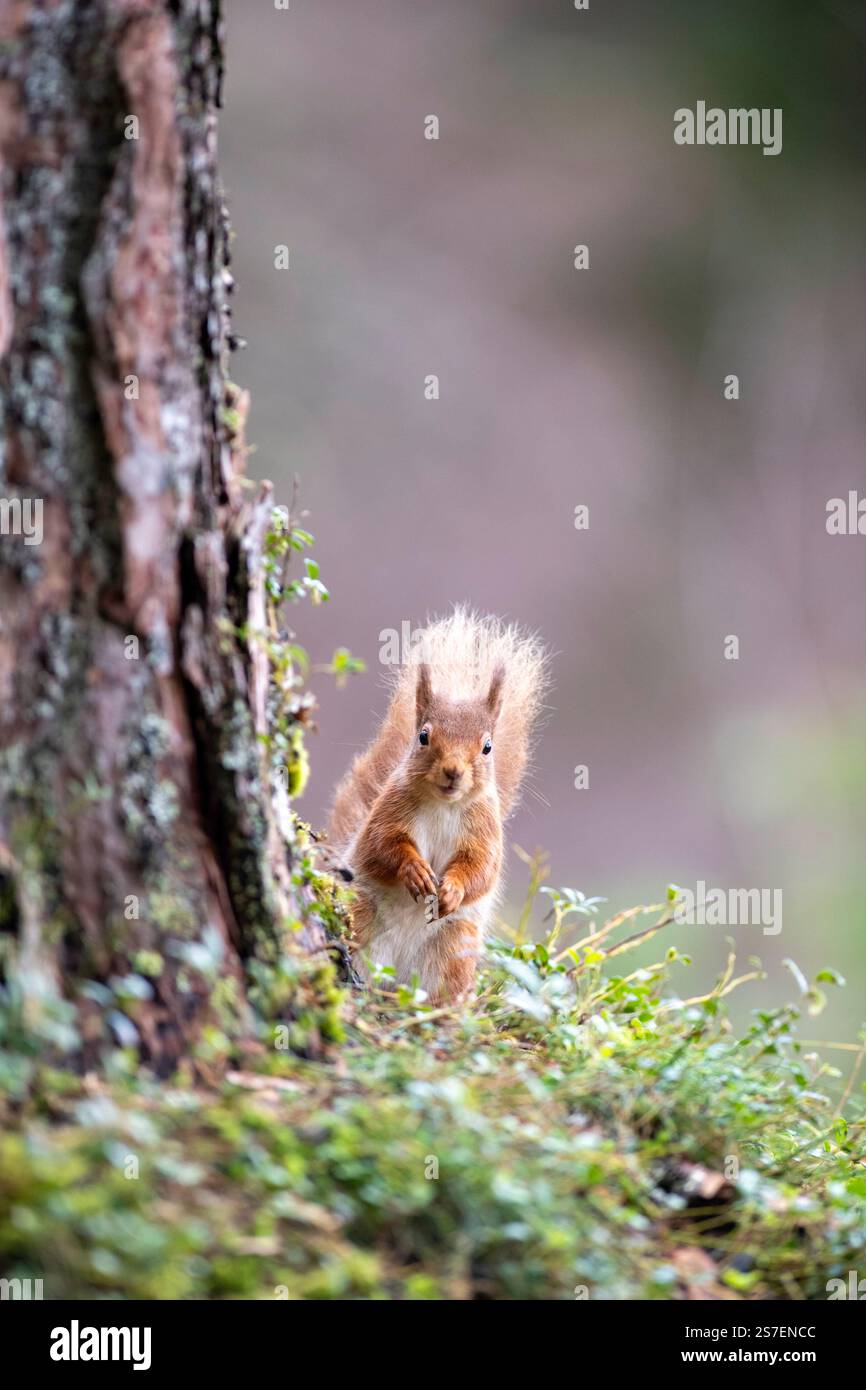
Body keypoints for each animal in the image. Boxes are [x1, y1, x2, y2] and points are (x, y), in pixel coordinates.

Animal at [328, 608, 549, 1003]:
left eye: (487, 747)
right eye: (423, 736)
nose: (452, 771)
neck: (444, 806)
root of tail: (396, 979)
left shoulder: (485, 830)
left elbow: (481, 868)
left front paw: (453, 890)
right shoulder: (388, 811)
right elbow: (382, 847)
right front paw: (414, 870)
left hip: (453, 950)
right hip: (361, 917)